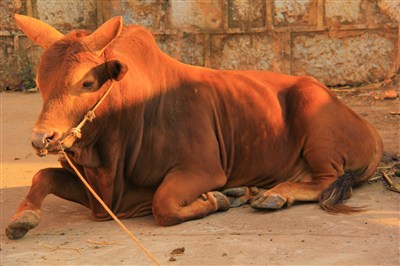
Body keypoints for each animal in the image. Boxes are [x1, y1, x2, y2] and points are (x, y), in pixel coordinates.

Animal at [6, 14, 382, 239]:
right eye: (39, 82)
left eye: (86, 82)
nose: (42, 139)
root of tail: (370, 128)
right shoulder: (94, 188)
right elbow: (42, 176)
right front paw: (23, 218)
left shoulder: (202, 169)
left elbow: (164, 204)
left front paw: (215, 199)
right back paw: (253, 190)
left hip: (318, 128)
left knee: (326, 180)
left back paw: (274, 194)